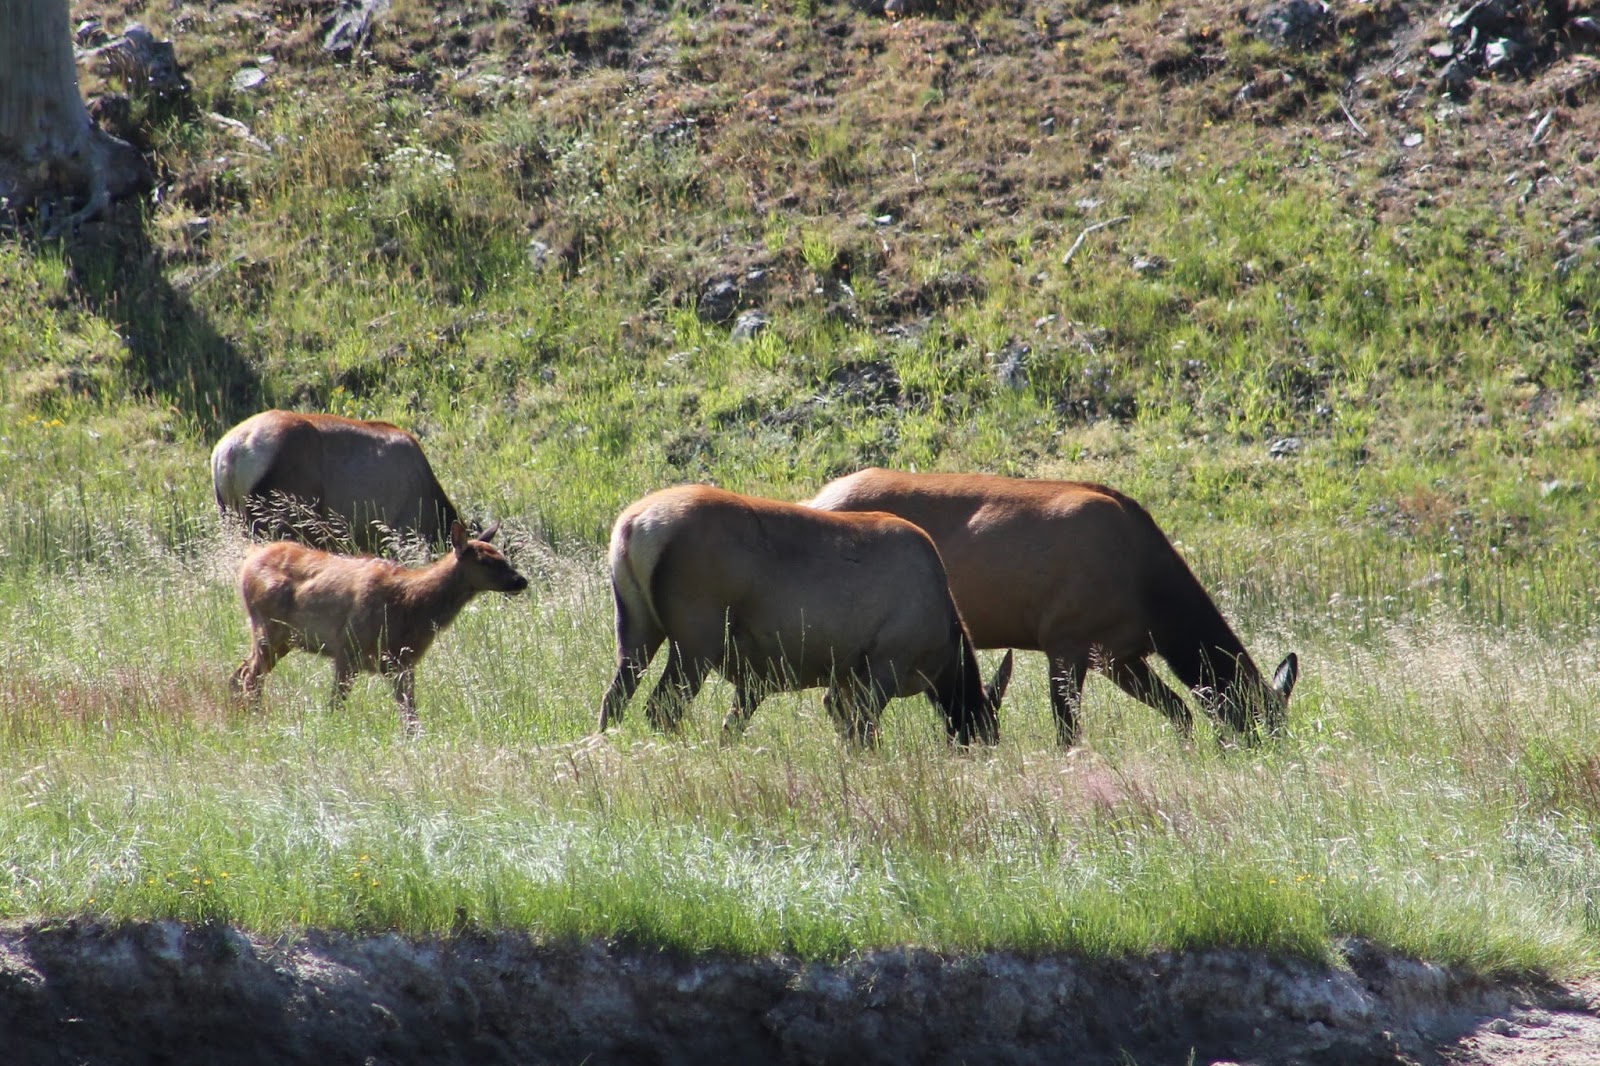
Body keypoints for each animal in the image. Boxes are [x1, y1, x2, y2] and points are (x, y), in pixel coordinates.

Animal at [230, 520, 528, 732]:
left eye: (502, 556)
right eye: (485, 561)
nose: (521, 581)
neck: (411, 607)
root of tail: (248, 563)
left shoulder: (403, 662)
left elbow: (411, 716)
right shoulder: (347, 648)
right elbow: (335, 704)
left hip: (280, 639)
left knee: (240, 673)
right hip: (268, 628)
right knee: (251, 677)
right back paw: (255, 719)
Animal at [596, 485, 1012, 746]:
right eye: (985, 729)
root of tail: (633, 526)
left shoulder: (816, 676)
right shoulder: (887, 660)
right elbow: (864, 732)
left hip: (636, 626)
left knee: (615, 696)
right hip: (697, 638)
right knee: (661, 706)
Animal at [807, 469, 1298, 746]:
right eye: (1261, 720)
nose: (1270, 759)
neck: (1152, 601)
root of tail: (817, 496)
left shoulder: (1119, 654)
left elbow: (1179, 711)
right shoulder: (1065, 637)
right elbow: (1067, 729)